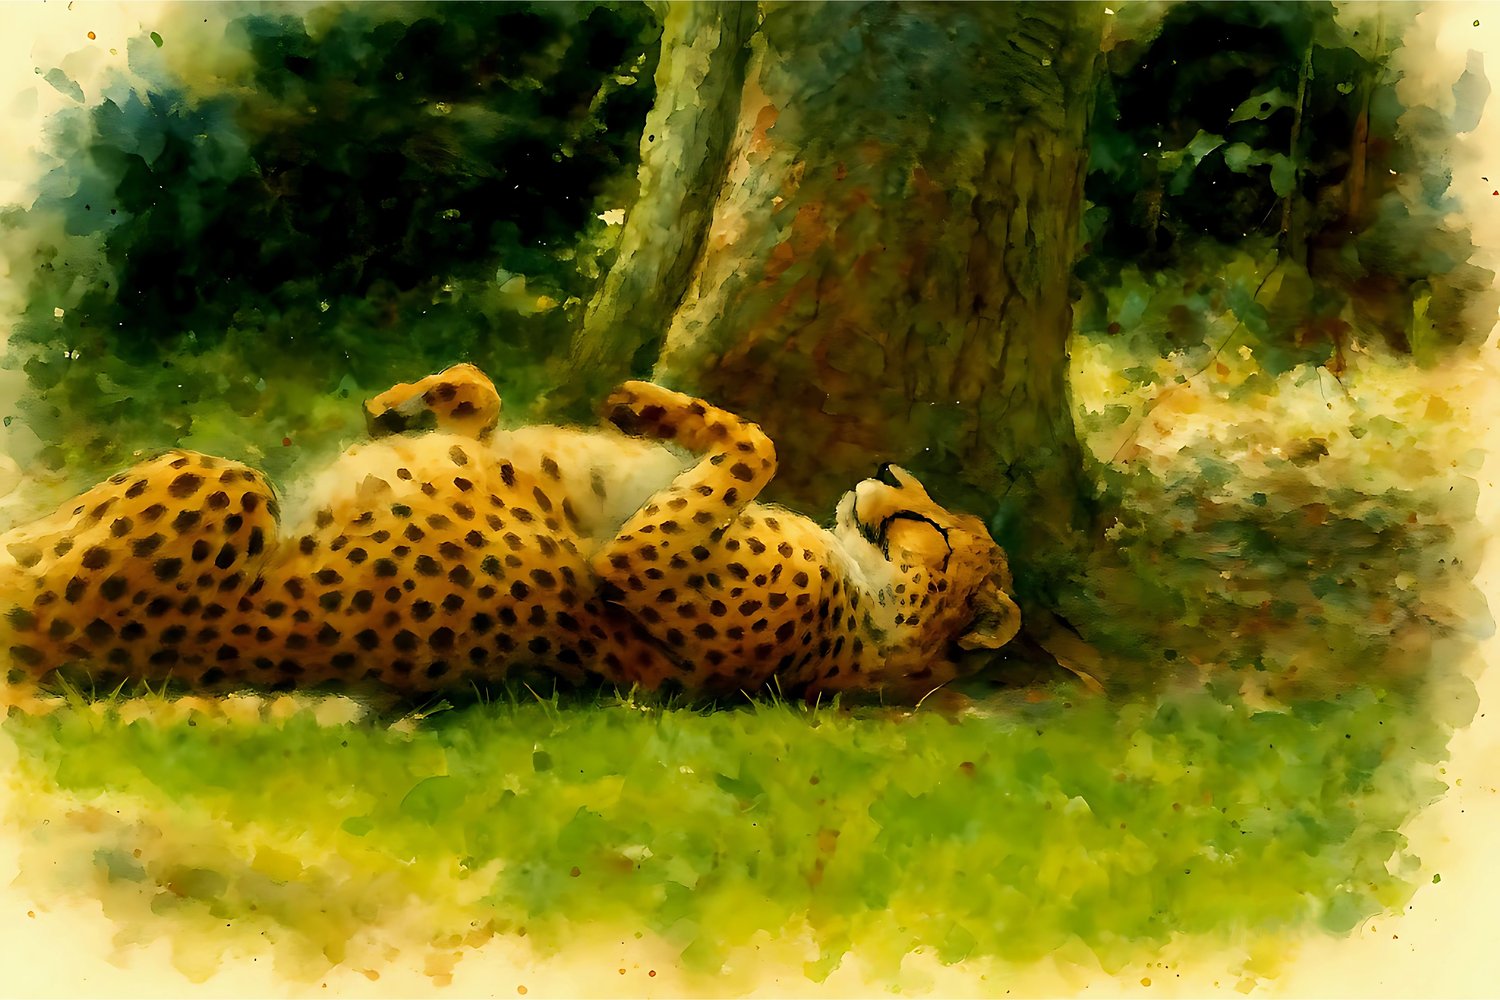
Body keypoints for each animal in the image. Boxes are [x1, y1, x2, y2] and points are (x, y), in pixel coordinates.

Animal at [0, 364, 1021, 702]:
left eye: (937, 527)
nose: (888, 472)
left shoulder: (644, 565)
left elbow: (756, 442)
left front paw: (647, 404)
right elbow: (482, 407)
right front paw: (416, 401)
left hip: (226, 486)